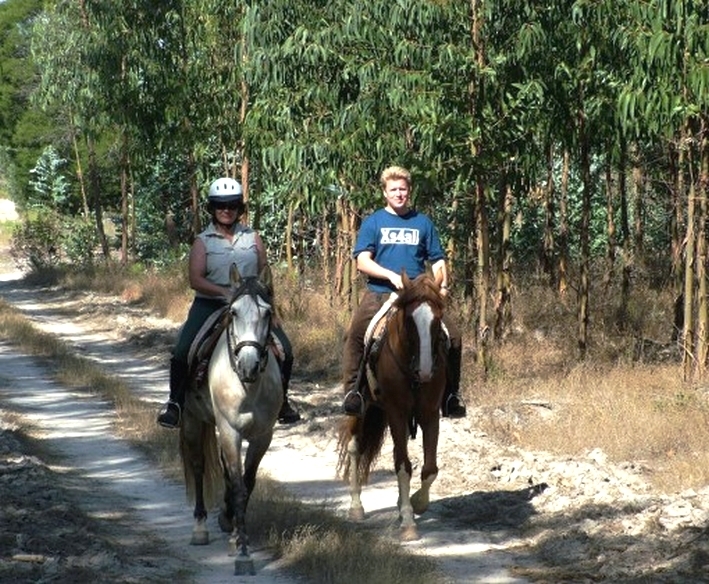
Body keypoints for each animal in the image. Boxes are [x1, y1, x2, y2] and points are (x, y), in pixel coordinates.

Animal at [177, 264, 282, 576]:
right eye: (233, 312)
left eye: (267, 313)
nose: (248, 365)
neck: (247, 386)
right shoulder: (230, 431)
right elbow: (237, 487)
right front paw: (243, 554)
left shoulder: (263, 436)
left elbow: (246, 484)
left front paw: (236, 535)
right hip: (193, 421)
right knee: (198, 466)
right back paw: (200, 528)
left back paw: (226, 519)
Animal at [336, 272, 446, 540]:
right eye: (408, 320)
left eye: (438, 318)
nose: (424, 371)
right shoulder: (396, 411)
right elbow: (403, 465)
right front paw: (407, 521)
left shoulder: (429, 413)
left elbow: (429, 468)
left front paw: (416, 503)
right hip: (362, 407)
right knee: (355, 446)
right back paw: (356, 507)